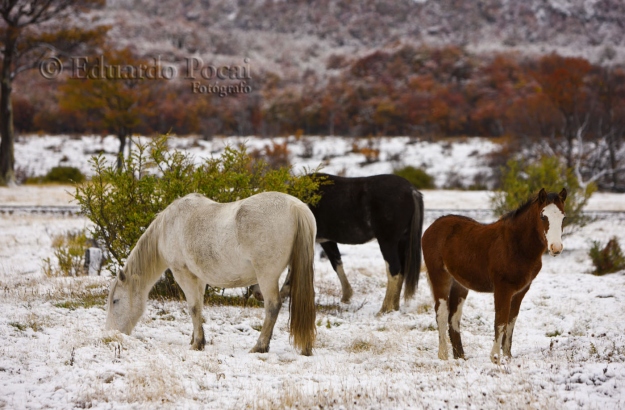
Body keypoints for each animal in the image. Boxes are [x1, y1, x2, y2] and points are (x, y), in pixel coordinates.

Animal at [105, 192, 316, 356]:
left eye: (115, 301)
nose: (112, 334)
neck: (170, 225)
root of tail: (296, 207)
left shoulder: (183, 273)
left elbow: (193, 307)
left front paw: (198, 343)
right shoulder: (199, 278)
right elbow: (198, 306)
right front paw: (195, 339)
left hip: (267, 276)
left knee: (272, 307)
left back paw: (260, 346)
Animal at [252, 173, 424, 314]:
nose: (257, 293)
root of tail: (411, 190)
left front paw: (284, 292)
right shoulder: (327, 241)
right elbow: (337, 263)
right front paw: (347, 295)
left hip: (387, 242)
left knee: (394, 271)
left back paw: (384, 308)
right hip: (401, 242)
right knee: (401, 272)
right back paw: (394, 307)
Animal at [424, 187, 564, 364]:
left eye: (563, 217)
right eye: (543, 216)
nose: (556, 248)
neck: (516, 245)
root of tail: (431, 228)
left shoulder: (520, 292)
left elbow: (511, 323)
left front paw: (507, 358)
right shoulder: (503, 289)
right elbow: (500, 321)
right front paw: (495, 358)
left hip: (459, 284)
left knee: (454, 317)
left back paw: (460, 357)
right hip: (439, 277)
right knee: (441, 313)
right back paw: (443, 355)